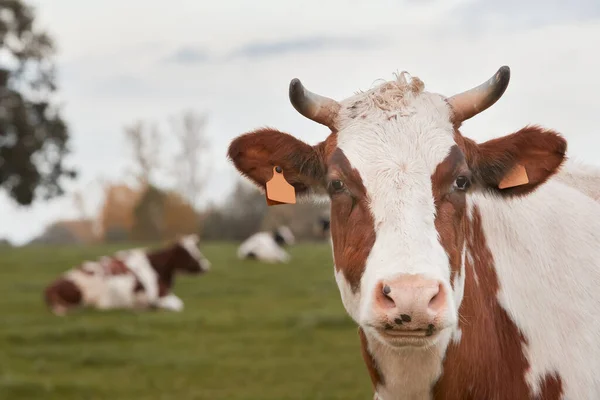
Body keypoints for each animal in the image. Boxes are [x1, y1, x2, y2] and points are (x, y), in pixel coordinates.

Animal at [44, 234, 211, 316]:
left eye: (197, 248)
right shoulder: (159, 294)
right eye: (185, 253)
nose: (206, 266)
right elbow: (178, 305)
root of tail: (51, 286)